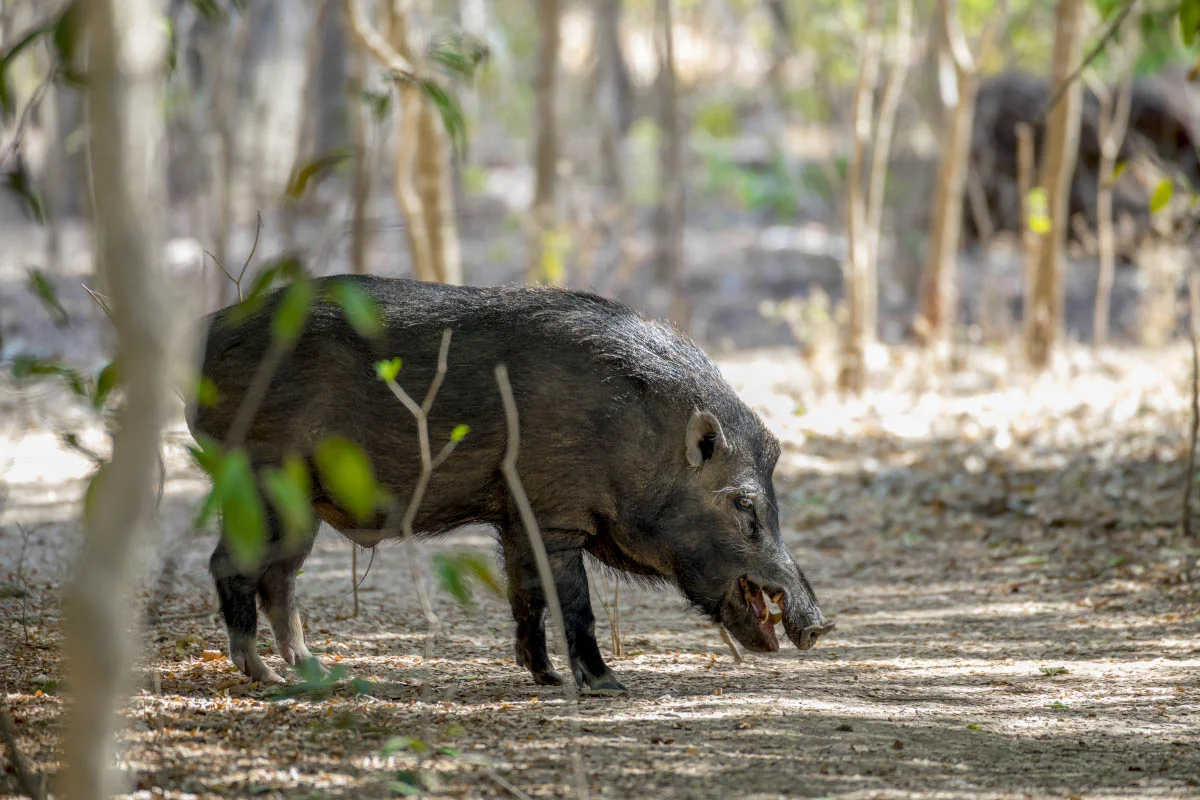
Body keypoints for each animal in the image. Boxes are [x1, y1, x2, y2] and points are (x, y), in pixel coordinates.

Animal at [189, 275, 835, 692]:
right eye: (744, 504)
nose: (819, 625)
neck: (632, 434)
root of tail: (201, 341)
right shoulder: (555, 513)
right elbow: (572, 599)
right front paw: (607, 685)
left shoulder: (517, 514)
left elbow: (526, 594)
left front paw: (543, 677)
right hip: (263, 475)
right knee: (231, 564)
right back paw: (262, 676)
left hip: (302, 501)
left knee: (278, 576)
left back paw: (311, 669)